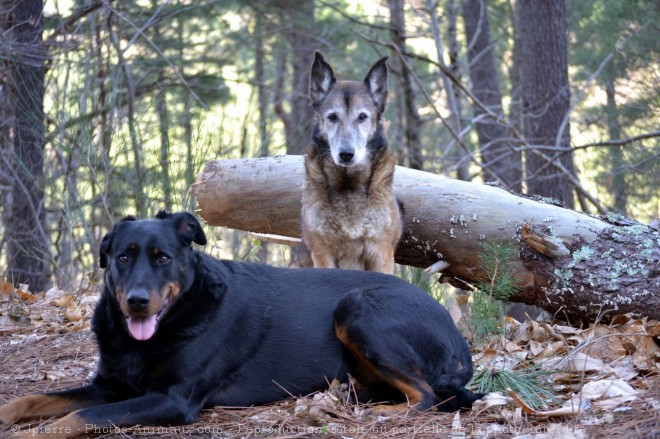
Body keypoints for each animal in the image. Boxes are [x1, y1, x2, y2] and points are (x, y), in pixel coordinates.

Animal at [0, 212, 480, 436]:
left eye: (163, 258)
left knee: (425, 395)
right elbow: (32, 400)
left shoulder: (172, 398)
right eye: (122, 257)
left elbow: (78, 416)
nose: (136, 302)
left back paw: (380, 413)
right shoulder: (110, 385)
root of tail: (461, 344)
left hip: (357, 308)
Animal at [302, 52, 402, 276]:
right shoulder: (322, 252)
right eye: (332, 117)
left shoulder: (380, 252)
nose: (346, 154)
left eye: (362, 116)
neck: (348, 185)